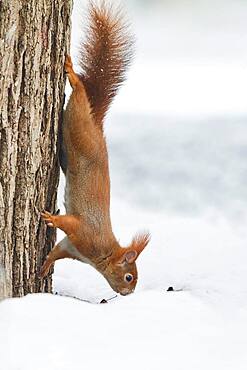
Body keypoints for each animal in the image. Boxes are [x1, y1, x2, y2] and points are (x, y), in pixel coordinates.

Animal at [40, 0, 150, 294]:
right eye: (129, 277)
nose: (129, 294)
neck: (103, 253)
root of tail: (97, 123)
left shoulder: (71, 247)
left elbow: (57, 252)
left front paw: (44, 267)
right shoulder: (84, 232)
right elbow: (68, 223)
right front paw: (51, 218)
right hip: (79, 124)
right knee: (79, 91)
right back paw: (70, 72)